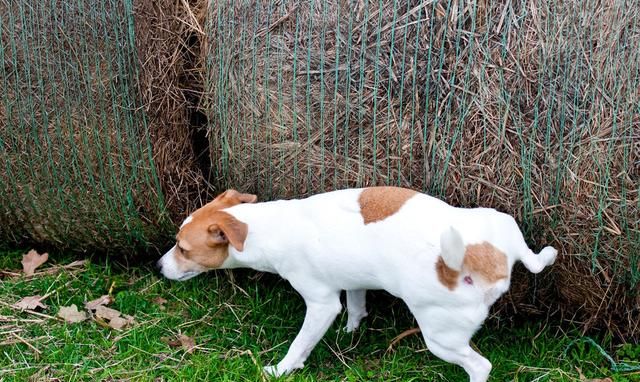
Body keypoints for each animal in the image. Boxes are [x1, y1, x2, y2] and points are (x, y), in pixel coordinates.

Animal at [158, 188, 556, 382]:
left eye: (182, 248)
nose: (158, 266)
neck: (265, 227)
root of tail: (486, 260)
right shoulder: (352, 280)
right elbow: (356, 305)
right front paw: (351, 331)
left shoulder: (321, 304)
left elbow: (300, 344)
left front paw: (281, 369)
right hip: (501, 223)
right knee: (535, 258)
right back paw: (545, 255)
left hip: (441, 337)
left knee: (480, 367)